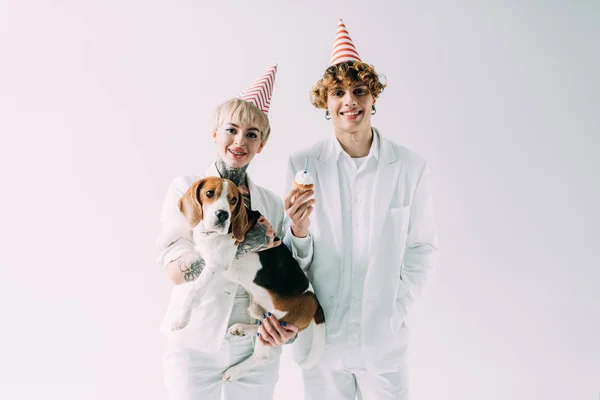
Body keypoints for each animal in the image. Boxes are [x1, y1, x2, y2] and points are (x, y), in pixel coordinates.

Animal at [171, 177, 326, 382]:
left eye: (233, 200)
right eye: (209, 193)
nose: (223, 215)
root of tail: (315, 302)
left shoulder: (217, 264)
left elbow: (194, 291)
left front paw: (181, 318)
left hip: (279, 322)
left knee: (261, 355)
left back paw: (235, 371)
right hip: (259, 308)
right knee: (260, 321)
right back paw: (242, 329)